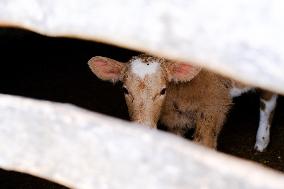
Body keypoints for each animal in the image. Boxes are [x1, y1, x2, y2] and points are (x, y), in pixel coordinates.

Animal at [88, 54, 278, 152]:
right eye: (125, 90)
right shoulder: (175, 121)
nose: (143, 129)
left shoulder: (213, 107)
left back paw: (261, 141)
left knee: (268, 101)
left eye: (163, 90)